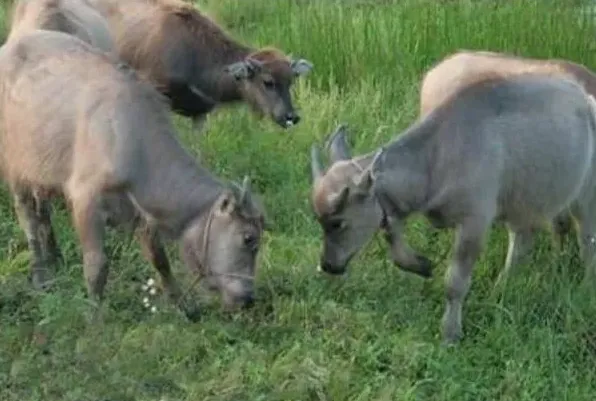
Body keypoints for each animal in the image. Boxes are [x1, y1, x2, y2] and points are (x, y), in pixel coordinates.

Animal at [0, 28, 268, 316]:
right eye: (249, 239)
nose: (249, 298)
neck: (133, 141)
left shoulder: (142, 212)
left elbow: (160, 259)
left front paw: (184, 306)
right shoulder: (86, 199)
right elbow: (97, 265)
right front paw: (95, 315)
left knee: (42, 213)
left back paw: (55, 259)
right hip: (15, 166)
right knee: (28, 216)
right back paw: (41, 274)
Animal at [310, 73, 596, 342]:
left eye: (338, 222)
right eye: (320, 222)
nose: (328, 265)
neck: (438, 158)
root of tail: (586, 100)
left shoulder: (473, 223)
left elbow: (455, 282)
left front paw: (450, 332)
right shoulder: (394, 208)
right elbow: (394, 243)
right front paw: (421, 265)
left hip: (584, 199)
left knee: (586, 242)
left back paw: (585, 289)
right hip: (528, 200)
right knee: (528, 240)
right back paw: (504, 287)